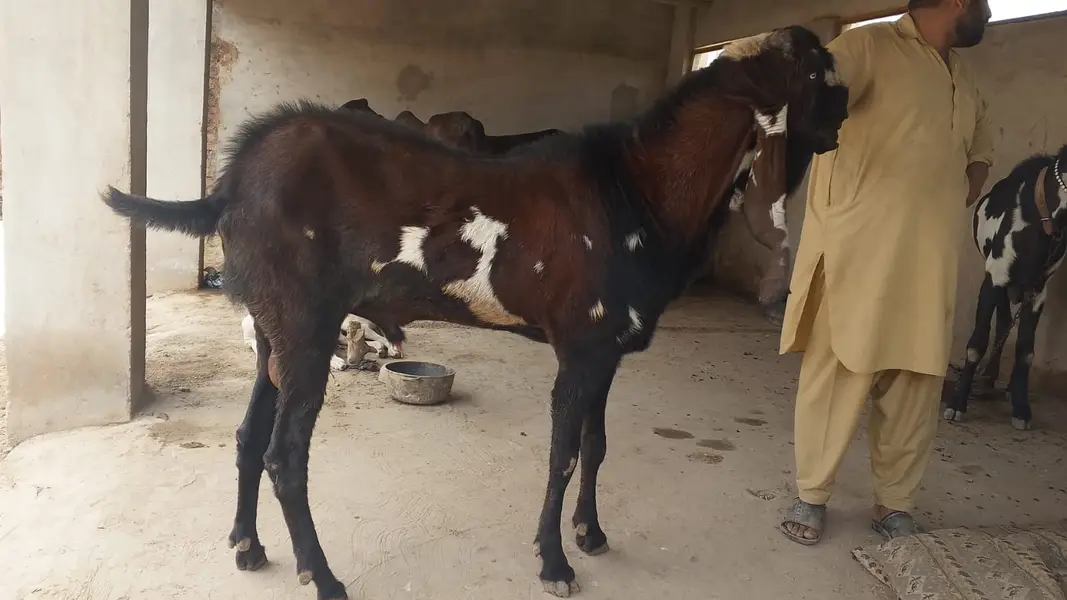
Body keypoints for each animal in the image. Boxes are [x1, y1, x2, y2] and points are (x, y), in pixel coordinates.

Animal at [101, 25, 848, 599]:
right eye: (819, 69)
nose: (845, 112)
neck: (635, 190)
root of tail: (229, 183)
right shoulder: (579, 349)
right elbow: (562, 454)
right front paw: (553, 562)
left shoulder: (607, 348)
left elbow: (597, 445)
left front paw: (591, 534)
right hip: (307, 330)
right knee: (285, 456)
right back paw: (325, 577)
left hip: (269, 331)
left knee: (250, 434)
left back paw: (247, 546)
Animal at [945, 144, 1067, 431]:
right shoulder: (994, 277)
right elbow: (977, 343)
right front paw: (957, 403)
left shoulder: (1038, 291)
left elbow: (1026, 350)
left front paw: (1021, 408)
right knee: (1001, 322)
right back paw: (988, 379)